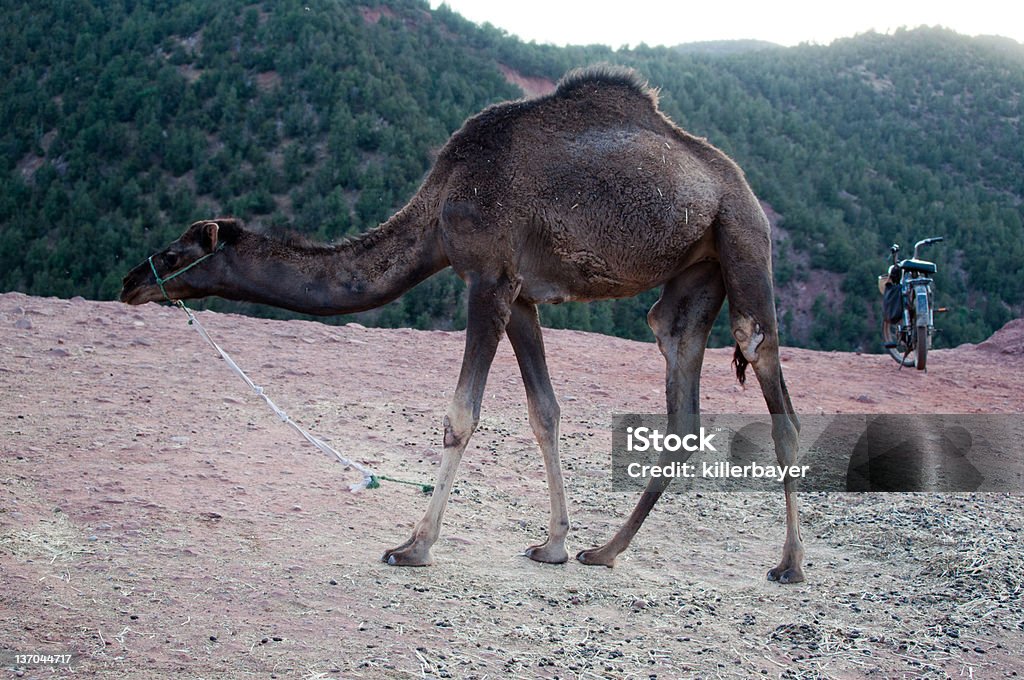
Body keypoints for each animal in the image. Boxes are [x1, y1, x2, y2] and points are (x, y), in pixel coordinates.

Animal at [119, 65, 802, 585]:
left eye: (175, 254)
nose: (129, 282)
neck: (439, 206)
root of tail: (738, 183)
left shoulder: (488, 278)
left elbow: (461, 416)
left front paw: (412, 547)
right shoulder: (519, 294)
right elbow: (544, 413)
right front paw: (552, 545)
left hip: (743, 241)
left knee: (768, 374)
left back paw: (790, 565)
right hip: (696, 274)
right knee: (677, 371)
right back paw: (604, 551)